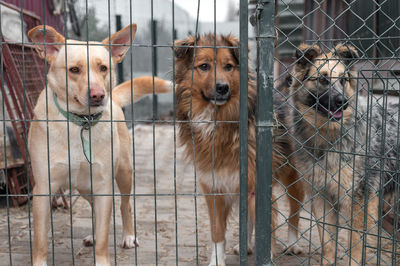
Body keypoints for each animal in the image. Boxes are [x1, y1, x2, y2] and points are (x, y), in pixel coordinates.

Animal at [27, 23, 171, 266]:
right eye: (74, 70)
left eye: (103, 68)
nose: (98, 95)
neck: (80, 123)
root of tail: (114, 98)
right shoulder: (44, 188)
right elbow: (39, 239)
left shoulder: (104, 186)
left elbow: (105, 235)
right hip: (85, 186)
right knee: (94, 209)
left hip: (123, 173)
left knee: (125, 205)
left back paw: (129, 236)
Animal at [174, 33, 304, 266]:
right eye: (204, 66)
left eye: (228, 66)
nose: (222, 87)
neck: (219, 121)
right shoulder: (214, 187)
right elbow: (218, 231)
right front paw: (217, 260)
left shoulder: (258, 187)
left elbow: (266, 228)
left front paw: (267, 257)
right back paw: (248, 246)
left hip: (294, 177)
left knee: (294, 211)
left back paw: (293, 243)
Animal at [290, 43, 398, 264]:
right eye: (322, 79)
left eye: (343, 79)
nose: (343, 102)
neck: (327, 138)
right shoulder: (320, 194)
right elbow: (328, 242)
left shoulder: (358, 198)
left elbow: (355, 244)